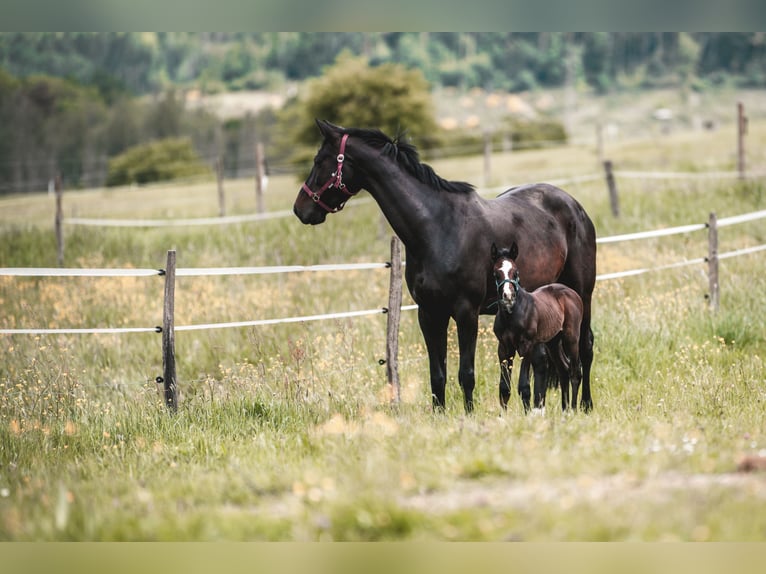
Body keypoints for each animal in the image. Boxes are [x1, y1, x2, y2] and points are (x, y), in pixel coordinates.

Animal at [496, 243, 584, 414]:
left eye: (515, 272)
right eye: (497, 273)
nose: (508, 296)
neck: (512, 314)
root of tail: (572, 293)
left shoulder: (526, 346)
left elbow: (524, 385)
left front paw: (527, 414)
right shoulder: (504, 348)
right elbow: (504, 388)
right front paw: (502, 417)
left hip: (571, 338)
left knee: (575, 372)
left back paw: (573, 410)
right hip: (553, 342)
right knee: (563, 370)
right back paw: (565, 411)